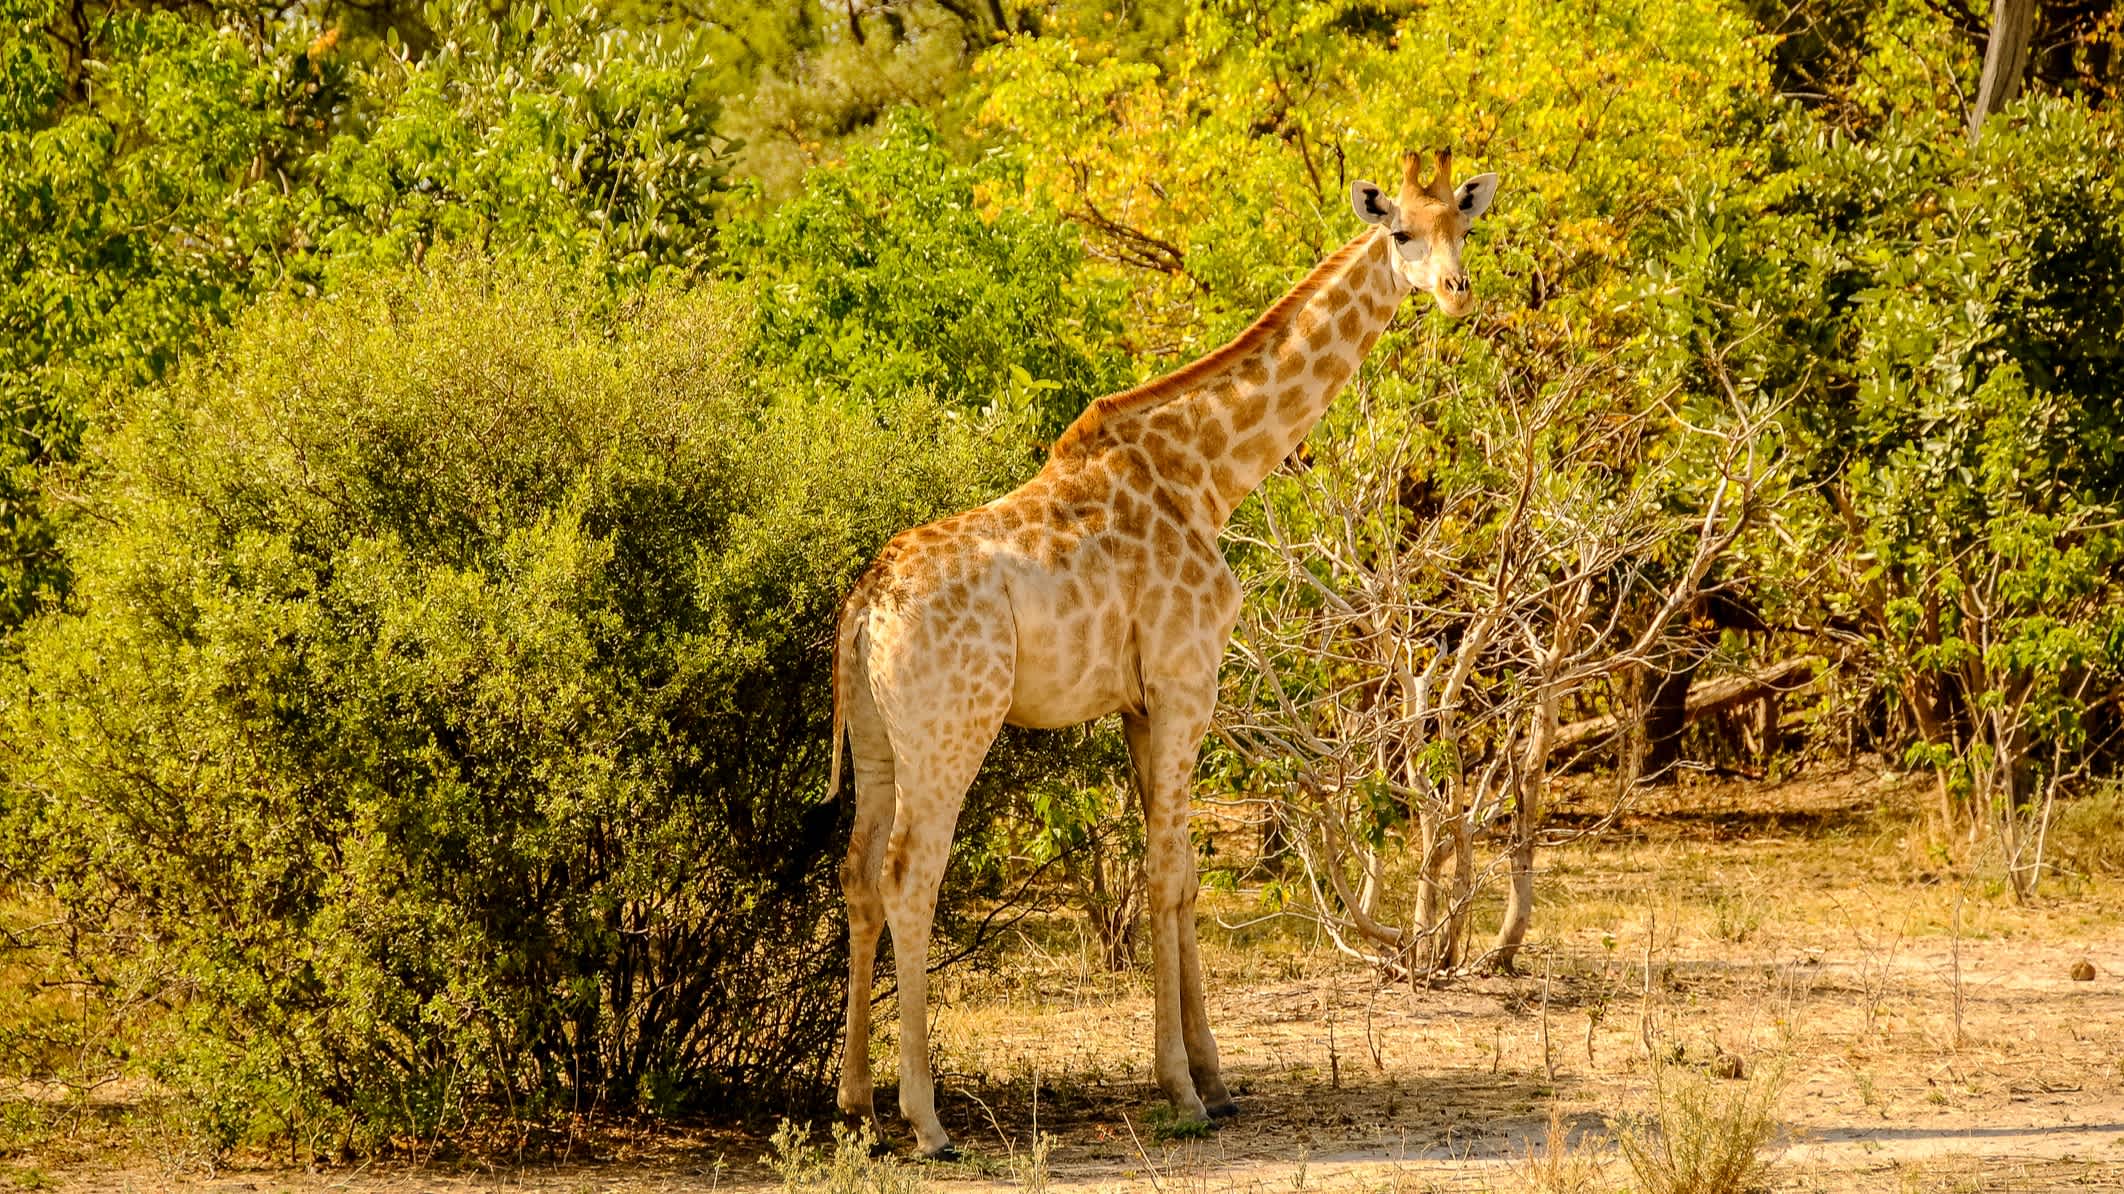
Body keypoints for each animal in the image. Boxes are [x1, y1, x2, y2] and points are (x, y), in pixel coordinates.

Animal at [819, 144, 1503, 1147]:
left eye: (1465, 222)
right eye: (1401, 233)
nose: (1456, 292)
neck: (1208, 472)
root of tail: (864, 608)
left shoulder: (1141, 703)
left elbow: (1176, 878)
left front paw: (1213, 1080)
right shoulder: (1186, 683)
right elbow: (1170, 871)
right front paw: (1182, 1090)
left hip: (875, 736)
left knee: (859, 872)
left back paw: (855, 1105)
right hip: (951, 729)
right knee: (912, 875)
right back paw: (928, 1122)